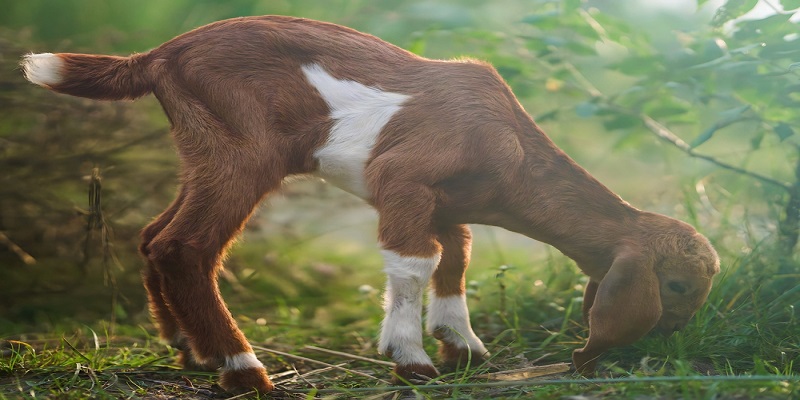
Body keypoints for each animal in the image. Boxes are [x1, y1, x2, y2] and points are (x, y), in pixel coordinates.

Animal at [20, 16, 720, 394]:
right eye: (677, 285)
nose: (676, 336)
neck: (513, 150)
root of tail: (158, 55)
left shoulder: (445, 202)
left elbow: (454, 259)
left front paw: (463, 348)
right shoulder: (402, 179)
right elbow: (414, 262)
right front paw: (411, 361)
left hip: (201, 151)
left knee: (151, 235)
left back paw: (191, 351)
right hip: (240, 153)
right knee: (184, 246)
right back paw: (244, 370)